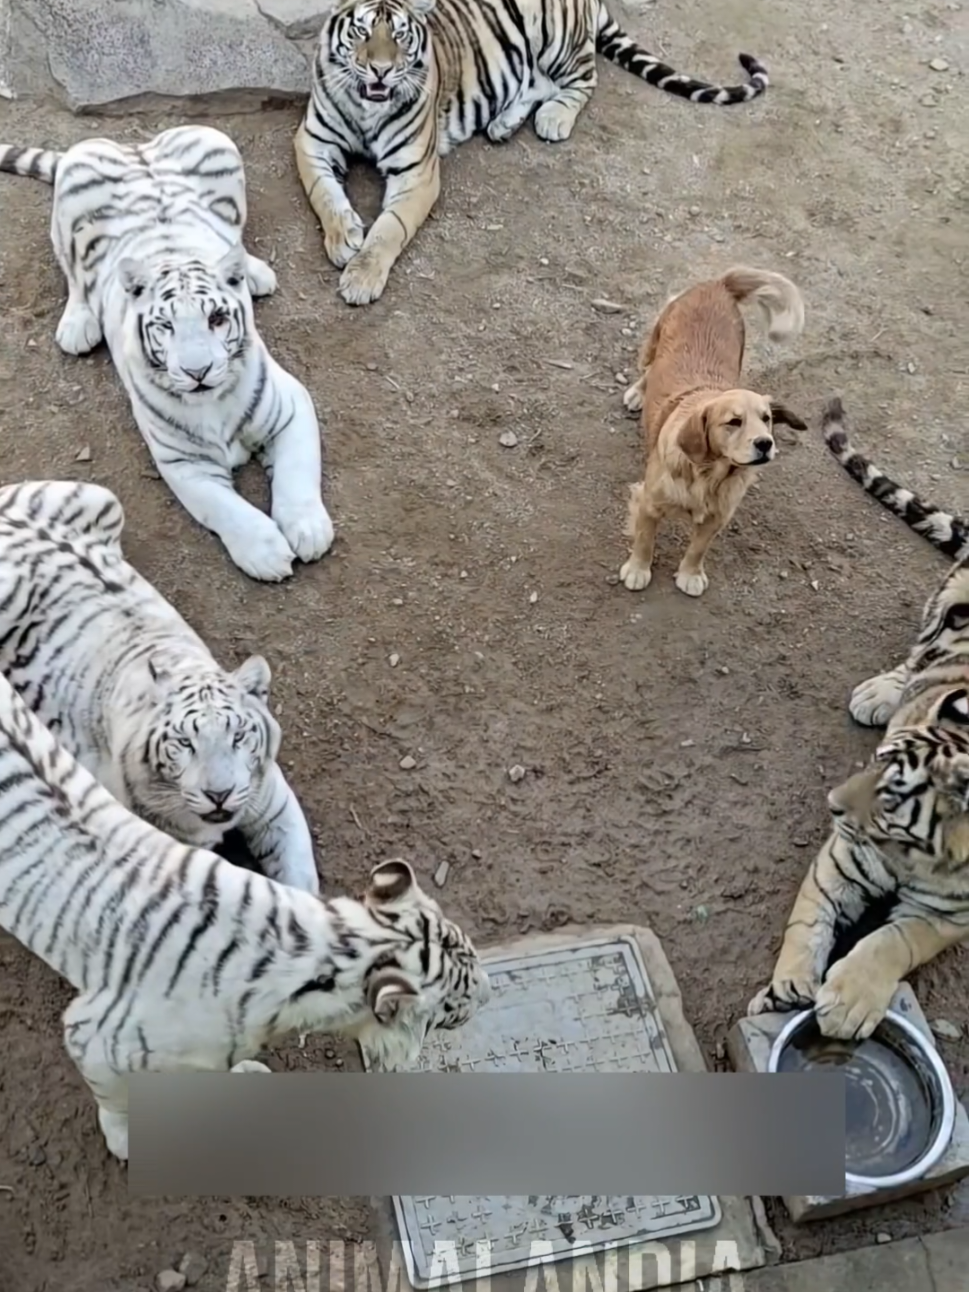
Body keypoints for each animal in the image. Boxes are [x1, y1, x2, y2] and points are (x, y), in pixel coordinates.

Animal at [0, 125, 333, 583]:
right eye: (166, 326)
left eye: (216, 318)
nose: (198, 372)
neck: (212, 402)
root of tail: (136, 147)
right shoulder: (182, 461)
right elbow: (227, 509)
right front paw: (265, 552)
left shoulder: (291, 405)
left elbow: (298, 472)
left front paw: (308, 528)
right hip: (70, 196)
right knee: (72, 271)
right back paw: (77, 324)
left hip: (218, 146)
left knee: (235, 241)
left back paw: (253, 272)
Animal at [0, 479, 320, 895]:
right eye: (185, 743)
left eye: (238, 737)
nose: (220, 796)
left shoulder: (275, 807)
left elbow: (301, 878)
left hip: (99, 498)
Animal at [295, 0, 769, 306]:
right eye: (361, 32)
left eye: (398, 36)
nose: (380, 70)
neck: (366, 105)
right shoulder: (312, 140)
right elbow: (325, 194)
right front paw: (344, 238)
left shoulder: (417, 173)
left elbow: (388, 230)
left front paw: (361, 277)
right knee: (537, 82)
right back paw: (503, 123)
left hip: (557, 42)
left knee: (583, 78)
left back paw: (553, 119)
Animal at [747, 725, 969, 1041]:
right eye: (872, 762)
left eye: (889, 793)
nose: (831, 804)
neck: (910, 855)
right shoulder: (838, 863)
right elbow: (806, 928)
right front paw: (784, 993)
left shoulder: (946, 917)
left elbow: (891, 942)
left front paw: (847, 1005)